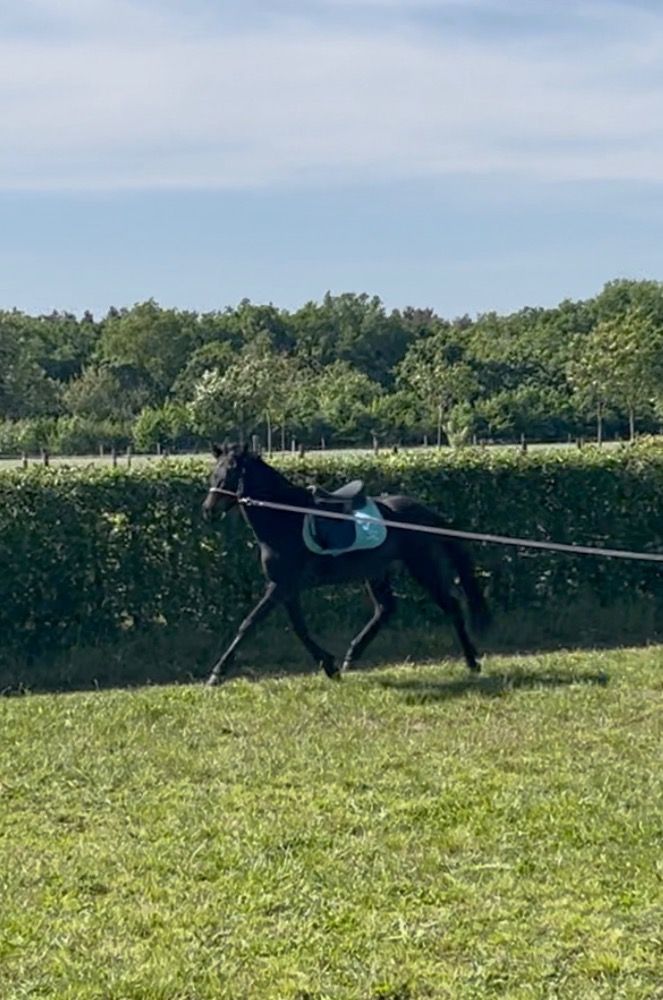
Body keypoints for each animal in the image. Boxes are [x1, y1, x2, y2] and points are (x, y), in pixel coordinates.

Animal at [202, 443, 490, 685]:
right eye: (213, 473)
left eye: (231, 472)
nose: (208, 510)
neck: (286, 518)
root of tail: (424, 512)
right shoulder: (286, 588)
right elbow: (299, 628)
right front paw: (330, 666)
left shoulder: (280, 586)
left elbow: (249, 623)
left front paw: (217, 673)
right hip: (376, 572)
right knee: (385, 609)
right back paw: (351, 656)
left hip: (423, 567)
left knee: (451, 606)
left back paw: (472, 662)